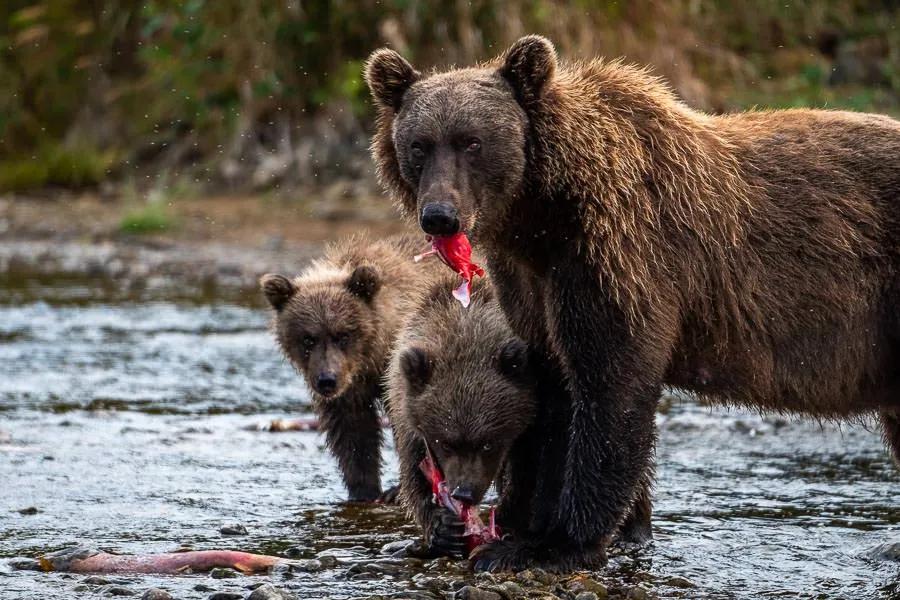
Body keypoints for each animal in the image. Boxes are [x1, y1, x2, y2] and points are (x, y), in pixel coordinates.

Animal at [362, 35, 896, 568]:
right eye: (418, 145)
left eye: (472, 142)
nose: (439, 215)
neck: (542, 214)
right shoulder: (530, 284)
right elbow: (552, 392)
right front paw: (516, 529)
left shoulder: (619, 256)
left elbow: (610, 385)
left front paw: (555, 543)